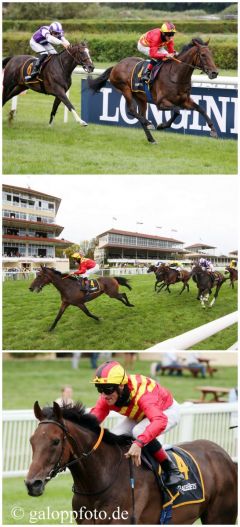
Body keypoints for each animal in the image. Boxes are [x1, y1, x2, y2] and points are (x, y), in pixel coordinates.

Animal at [88, 37, 219, 144]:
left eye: (211, 54)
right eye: (203, 55)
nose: (214, 73)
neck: (176, 75)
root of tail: (116, 66)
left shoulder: (184, 101)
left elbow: (201, 109)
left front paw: (213, 130)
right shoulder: (161, 103)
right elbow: (177, 111)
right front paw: (161, 125)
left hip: (141, 98)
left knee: (140, 115)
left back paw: (151, 138)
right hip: (125, 90)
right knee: (131, 111)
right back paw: (149, 123)